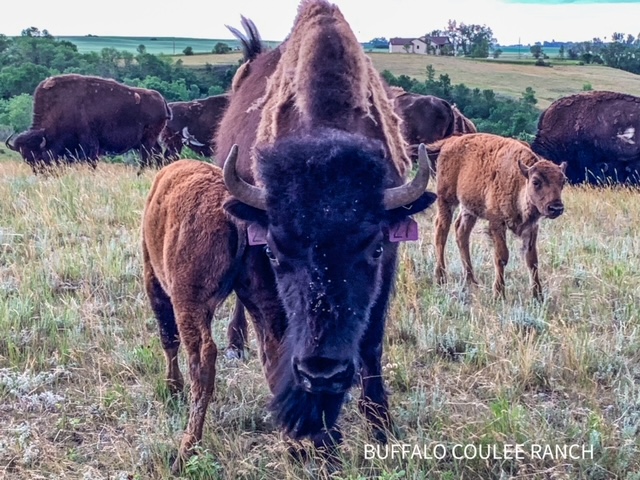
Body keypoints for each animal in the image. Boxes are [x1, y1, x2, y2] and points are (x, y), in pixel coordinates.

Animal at [5, 74, 170, 172]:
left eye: (40, 157)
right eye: (27, 160)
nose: (42, 174)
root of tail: (162, 100)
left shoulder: (90, 144)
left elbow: (91, 162)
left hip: (147, 141)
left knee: (146, 158)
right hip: (148, 141)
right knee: (157, 154)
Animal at [142, 0, 438, 470]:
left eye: (373, 249)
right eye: (277, 253)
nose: (324, 370)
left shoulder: (390, 258)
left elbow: (370, 342)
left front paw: (380, 429)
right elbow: (280, 342)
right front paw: (316, 437)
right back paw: (238, 346)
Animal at [432, 133, 568, 300]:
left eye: (563, 181)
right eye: (536, 182)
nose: (556, 208)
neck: (519, 181)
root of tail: (450, 141)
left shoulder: (531, 228)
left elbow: (532, 260)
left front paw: (538, 296)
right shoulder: (497, 223)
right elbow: (502, 257)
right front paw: (499, 294)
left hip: (469, 208)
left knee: (461, 232)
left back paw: (471, 281)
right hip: (446, 200)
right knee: (441, 232)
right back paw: (441, 278)